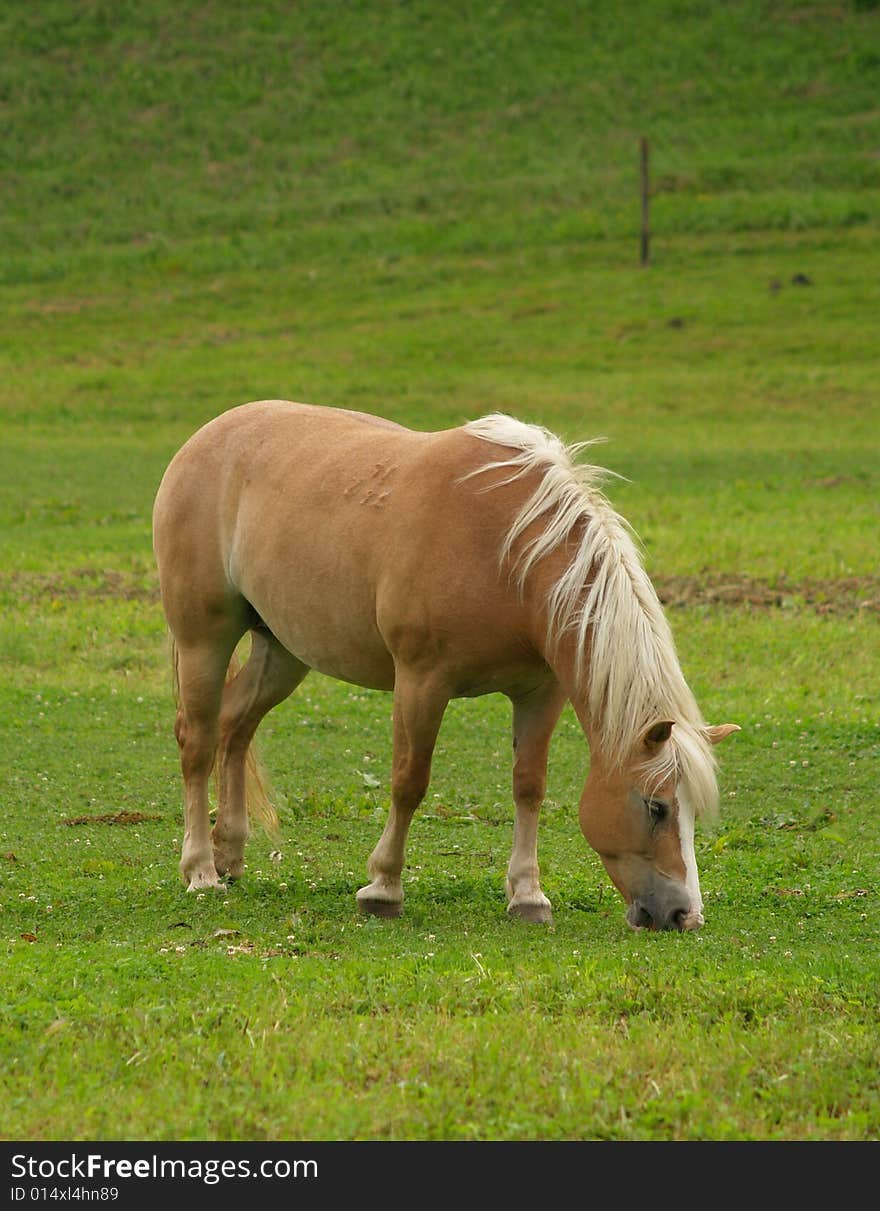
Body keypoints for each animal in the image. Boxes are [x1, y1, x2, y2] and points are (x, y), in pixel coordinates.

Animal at [154, 402, 740, 930]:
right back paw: (201, 870)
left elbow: (529, 785)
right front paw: (383, 888)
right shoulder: (421, 682)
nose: (685, 915)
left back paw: (230, 855)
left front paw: (528, 895)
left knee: (235, 727)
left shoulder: (541, 693)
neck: (506, 550)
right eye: (657, 807)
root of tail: (204, 438)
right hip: (205, 639)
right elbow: (409, 781)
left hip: (283, 651)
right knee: (198, 741)